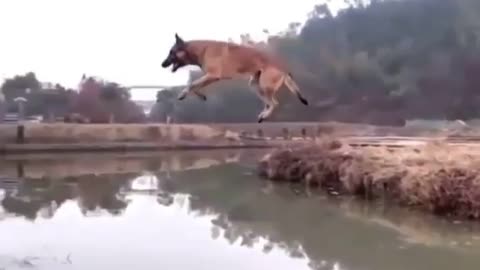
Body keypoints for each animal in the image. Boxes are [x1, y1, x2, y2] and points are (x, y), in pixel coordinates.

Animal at [159, 33, 306, 123]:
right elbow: (195, 86)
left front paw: (183, 94)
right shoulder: (210, 77)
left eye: (171, 52)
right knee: (269, 103)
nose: (162, 64)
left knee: (274, 103)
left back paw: (264, 115)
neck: (200, 50)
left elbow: (191, 84)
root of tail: (284, 66)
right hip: (255, 85)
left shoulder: (212, 75)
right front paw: (201, 96)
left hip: (265, 85)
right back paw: (263, 116)